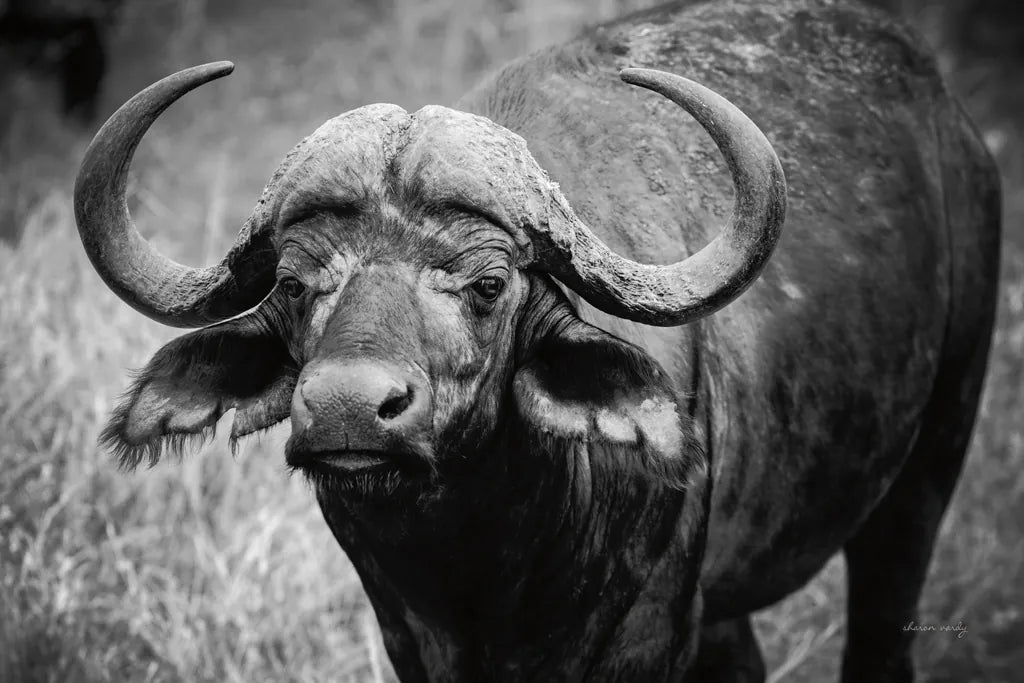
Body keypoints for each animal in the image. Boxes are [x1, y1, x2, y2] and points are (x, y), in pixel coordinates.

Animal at [73, 0, 1000, 681]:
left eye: (489, 283)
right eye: (297, 284)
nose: (346, 409)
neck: (482, 558)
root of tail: (957, 129)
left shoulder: (649, 631)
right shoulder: (410, 637)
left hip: (928, 465)